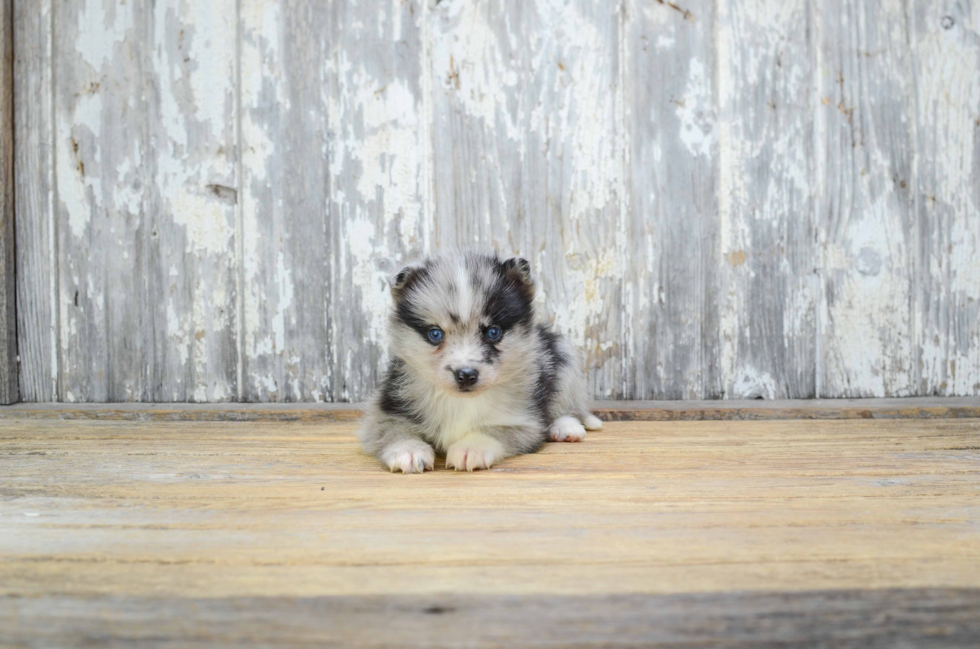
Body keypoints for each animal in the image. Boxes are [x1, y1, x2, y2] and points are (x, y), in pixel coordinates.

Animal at [360, 248, 604, 470]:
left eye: (493, 332)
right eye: (435, 334)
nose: (466, 375)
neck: (461, 402)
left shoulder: (522, 421)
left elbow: (491, 430)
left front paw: (470, 448)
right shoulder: (383, 411)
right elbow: (394, 430)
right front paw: (408, 450)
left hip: (565, 357)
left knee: (569, 406)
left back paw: (566, 428)